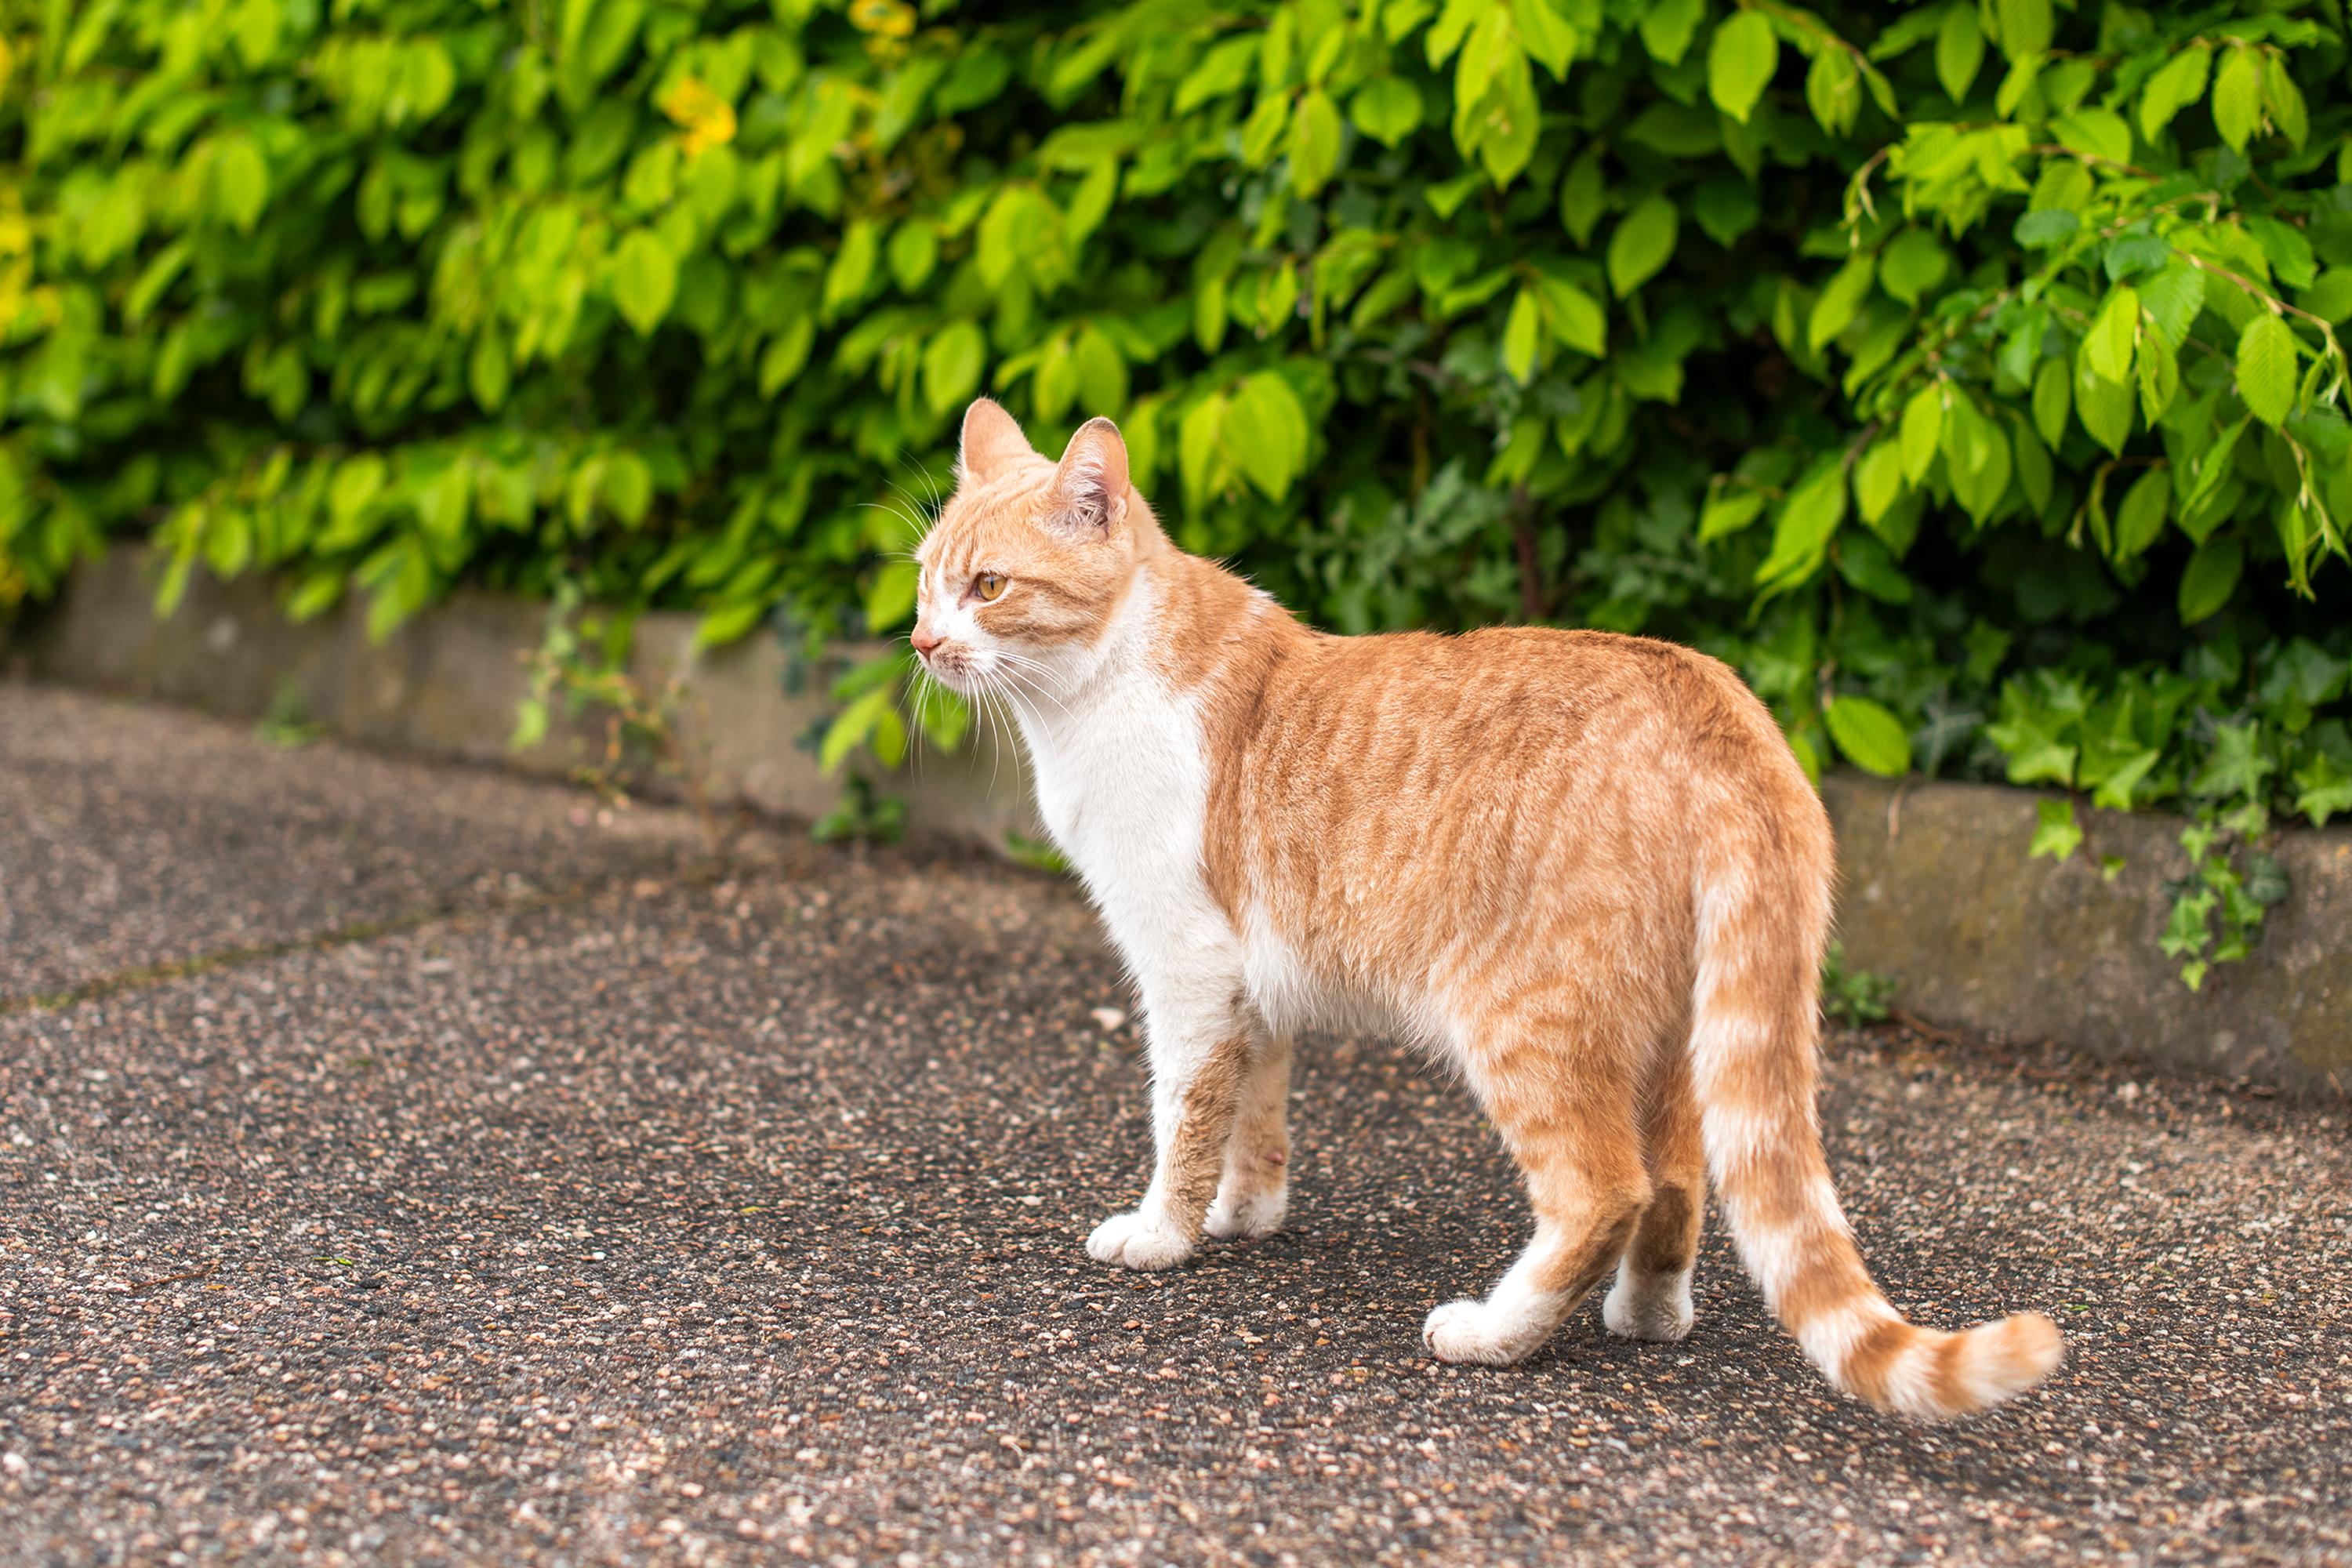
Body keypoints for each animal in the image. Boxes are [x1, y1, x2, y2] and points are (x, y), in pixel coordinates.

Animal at [903, 401, 2060, 1420]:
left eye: (989, 586)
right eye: (923, 583)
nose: (920, 643)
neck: (1093, 693)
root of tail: (1712, 701)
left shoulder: (1184, 967)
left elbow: (1184, 1115)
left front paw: (1163, 1234)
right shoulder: (1247, 986)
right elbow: (1254, 1113)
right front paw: (1247, 1215)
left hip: (1522, 1018)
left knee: (1606, 1189)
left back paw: (1494, 1333)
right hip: (1675, 1033)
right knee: (1681, 1180)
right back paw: (1648, 1315)